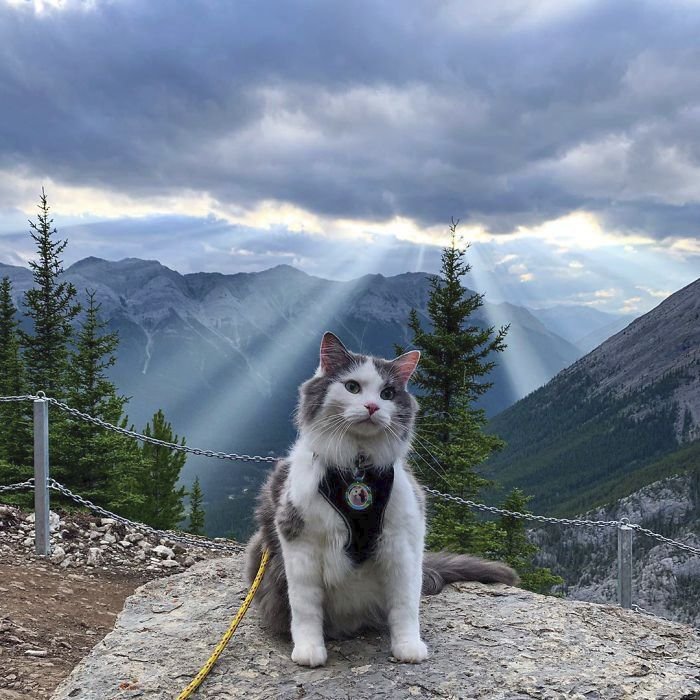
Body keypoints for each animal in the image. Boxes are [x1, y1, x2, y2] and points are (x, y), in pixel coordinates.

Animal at [243, 334, 516, 668]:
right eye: (352, 387)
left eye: (387, 394)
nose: (372, 406)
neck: (358, 468)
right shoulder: (299, 540)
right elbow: (305, 608)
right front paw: (309, 649)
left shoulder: (403, 542)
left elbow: (405, 605)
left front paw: (408, 647)